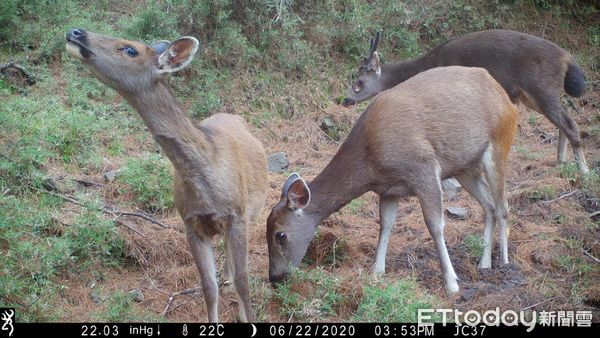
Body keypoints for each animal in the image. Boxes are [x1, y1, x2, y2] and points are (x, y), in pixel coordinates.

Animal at [63, 29, 268, 322]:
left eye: (131, 49)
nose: (76, 32)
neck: (204, 178)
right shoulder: (190, 223)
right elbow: (209, 287)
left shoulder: (237, 216)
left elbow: (244, 281)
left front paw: (245, 315)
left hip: (253, 211)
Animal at [268, 66, 520, 296]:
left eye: (280, 234)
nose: (275, 277)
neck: (371, 161)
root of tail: (505, 97)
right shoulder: (389, 190)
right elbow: (385, 224)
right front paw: (376, 272)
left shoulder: (424, 168)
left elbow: (435, 225)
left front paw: (452, 283)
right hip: (465, 167)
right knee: (489, 206)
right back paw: (484, 263)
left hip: (500, 142)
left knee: (503, 206)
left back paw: (505, 262)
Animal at [342, 29, 592, 174]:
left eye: (359, 82)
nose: (346, 99)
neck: (429, 64)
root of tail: (568, 59)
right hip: (536, 95)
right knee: (563, 122)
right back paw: (560, 161)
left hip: (541, 88)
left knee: (569, 123)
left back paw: (584, 170)